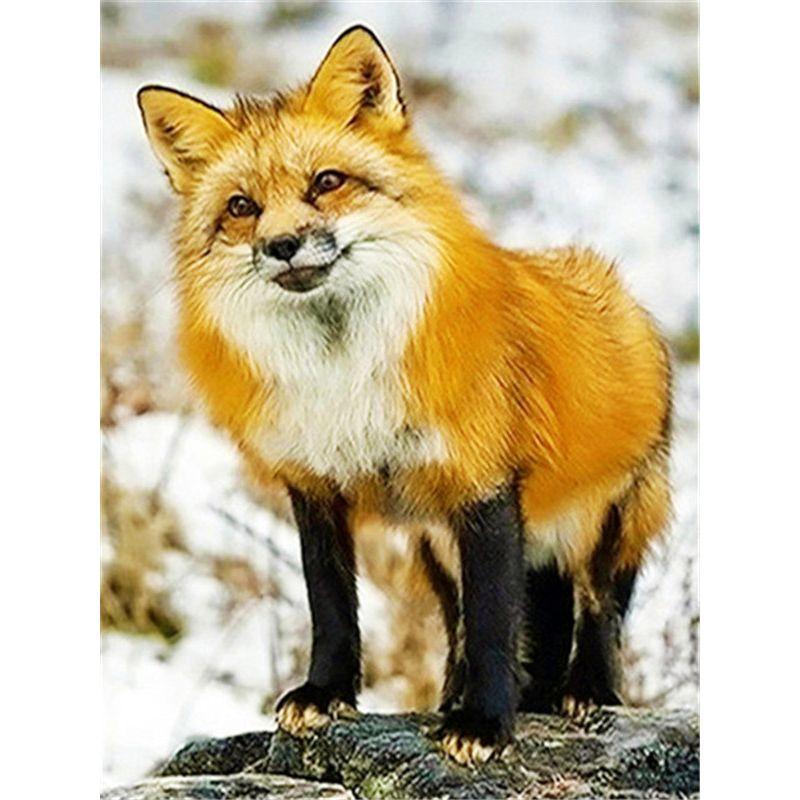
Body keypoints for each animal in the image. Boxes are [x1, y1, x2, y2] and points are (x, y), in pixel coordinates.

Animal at [138, 26, 672, 765]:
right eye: (242, 207)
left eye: (326, 182)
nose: (282, 244)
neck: (343, 372)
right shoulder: (314, 488)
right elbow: (332, 607)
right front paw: (326, 692)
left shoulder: (483, 487)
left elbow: (494, 623)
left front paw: (485, 724)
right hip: (436, 546)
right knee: (478, 623)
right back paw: (464, 697)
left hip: (610, 521)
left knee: (597, 608)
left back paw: (586, 691)